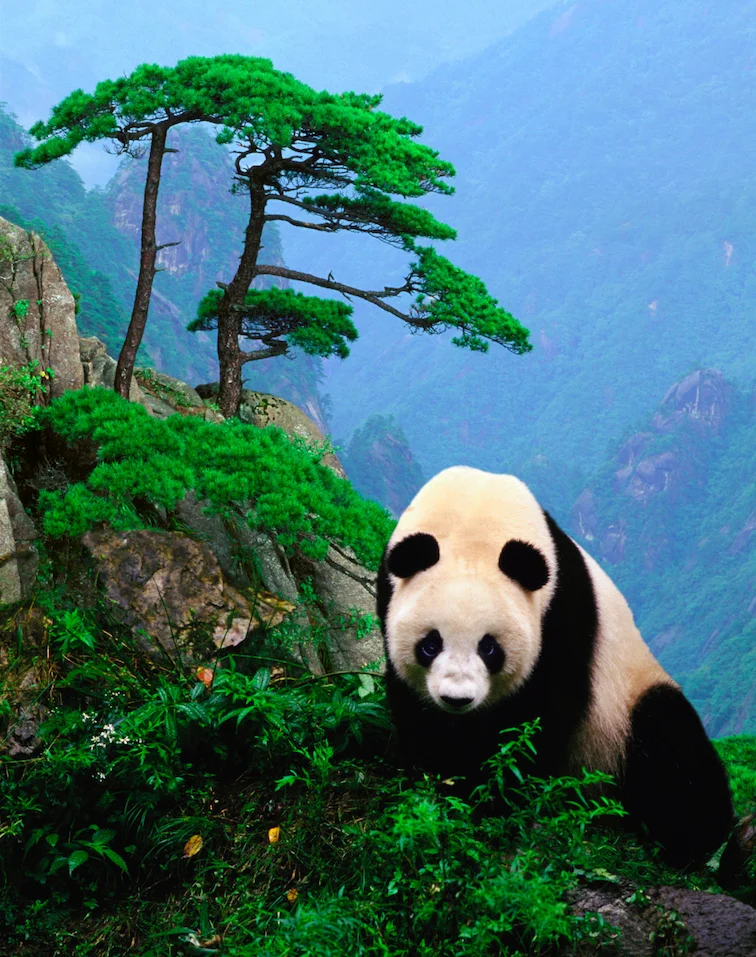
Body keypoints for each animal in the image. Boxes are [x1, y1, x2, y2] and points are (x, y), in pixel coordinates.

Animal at [377, 466, 733, 868]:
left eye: (489, 648)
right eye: (430, 644)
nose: (457, 699)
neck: (475, 512)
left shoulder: (562, 616)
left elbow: (541, 717)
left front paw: (491, 791)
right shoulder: (388, 589)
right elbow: (412, 703)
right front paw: (435, 771)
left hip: (623, 714)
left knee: (672, 749)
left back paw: (688, 840)